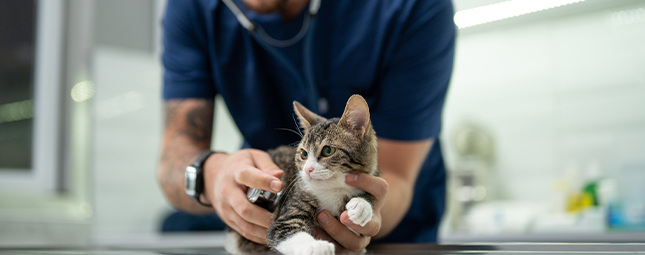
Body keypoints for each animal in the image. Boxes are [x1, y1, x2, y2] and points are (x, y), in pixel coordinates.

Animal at [226, 94, 378, 254]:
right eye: (304, 154)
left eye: (328, 150)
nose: (307, 169)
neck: (333, 189)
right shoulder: (290, 205)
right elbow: (284, 229)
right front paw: (316, 246)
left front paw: (361, 205)